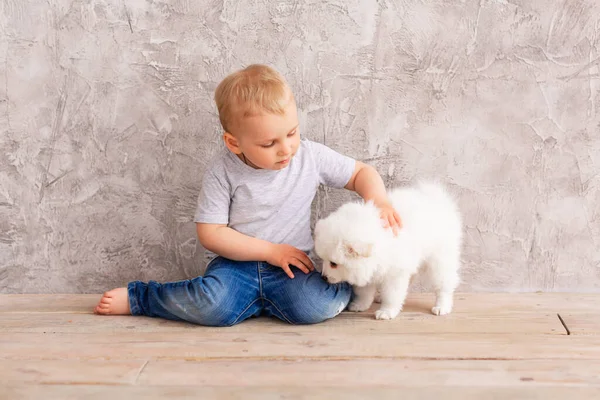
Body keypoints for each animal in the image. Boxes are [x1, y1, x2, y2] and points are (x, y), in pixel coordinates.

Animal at [314, 183, 464, 320]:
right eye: (323, 259)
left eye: (333, 264)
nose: (323, 277)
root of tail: (438, 200)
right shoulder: (370, 269)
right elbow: (364, 292)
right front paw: (360, 305)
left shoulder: (394, 273)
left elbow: (392, 294)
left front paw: (387, 312)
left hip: (440, 258)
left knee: (444, 284)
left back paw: (442, 306)